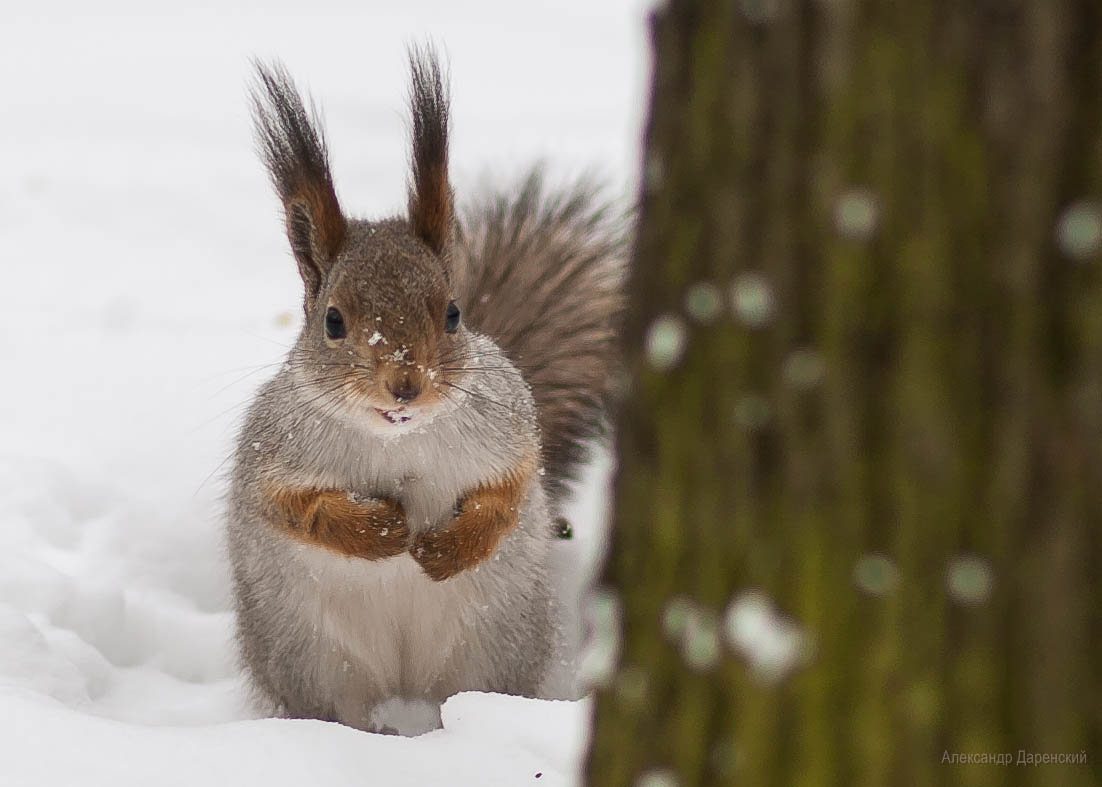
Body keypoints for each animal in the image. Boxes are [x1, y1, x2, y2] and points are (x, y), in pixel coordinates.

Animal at [225, 46, 621, 731]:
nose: (405, 386)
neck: (398, 442)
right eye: (333, 321)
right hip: (314, 661)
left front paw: (446, 549)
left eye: (454, 313)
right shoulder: (271, 456)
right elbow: (295, 508)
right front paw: (383, 530)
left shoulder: (509, 430)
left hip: (491, 649)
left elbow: (510, 491)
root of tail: (404, 685)